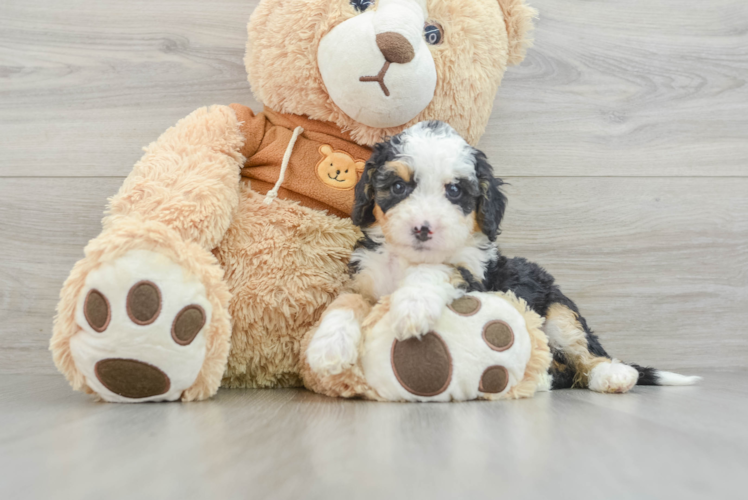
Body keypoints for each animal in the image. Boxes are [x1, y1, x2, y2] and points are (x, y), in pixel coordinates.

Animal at [306, 121, 700, 394]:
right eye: (398, 187)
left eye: (454, 191)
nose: (422, 228)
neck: (408, 259)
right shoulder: (365, 280)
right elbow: (344, 302)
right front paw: (327, 347)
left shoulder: (474, 278)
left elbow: (438, 269)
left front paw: (412, 307)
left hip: (559, 311)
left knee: (587, 354)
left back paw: (613, 374)